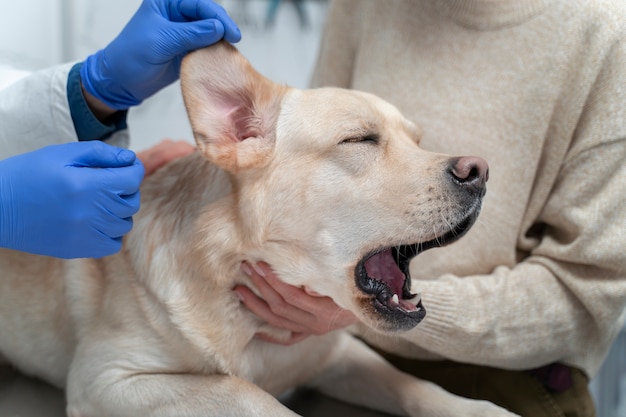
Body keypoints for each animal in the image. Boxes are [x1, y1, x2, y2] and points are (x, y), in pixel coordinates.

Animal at [0, 42, 516, 416]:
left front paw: (483, 410)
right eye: (360, 139)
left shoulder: (337, 354)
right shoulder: (105, 379)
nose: (480, 172)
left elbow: (417, 386)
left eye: (417, 141)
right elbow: (243, 392)